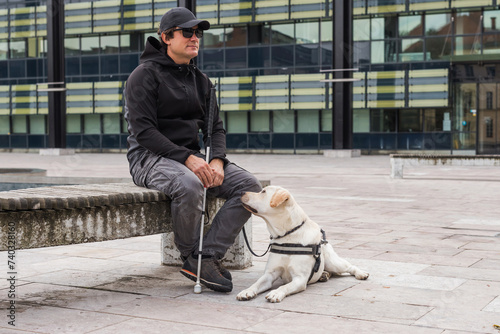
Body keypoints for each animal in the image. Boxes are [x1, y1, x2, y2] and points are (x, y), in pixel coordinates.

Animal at [236, 185, 370, 302]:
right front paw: (246, 291)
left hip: (334, 262)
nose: (241, 192)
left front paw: (276, 293)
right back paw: (324, 275)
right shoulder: (269, 274)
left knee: (350, 266)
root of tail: (324, 241)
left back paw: (361, 273)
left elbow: (284, 286)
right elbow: (256, 284)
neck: (287, 236)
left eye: (263, 192)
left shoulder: (300, 279)